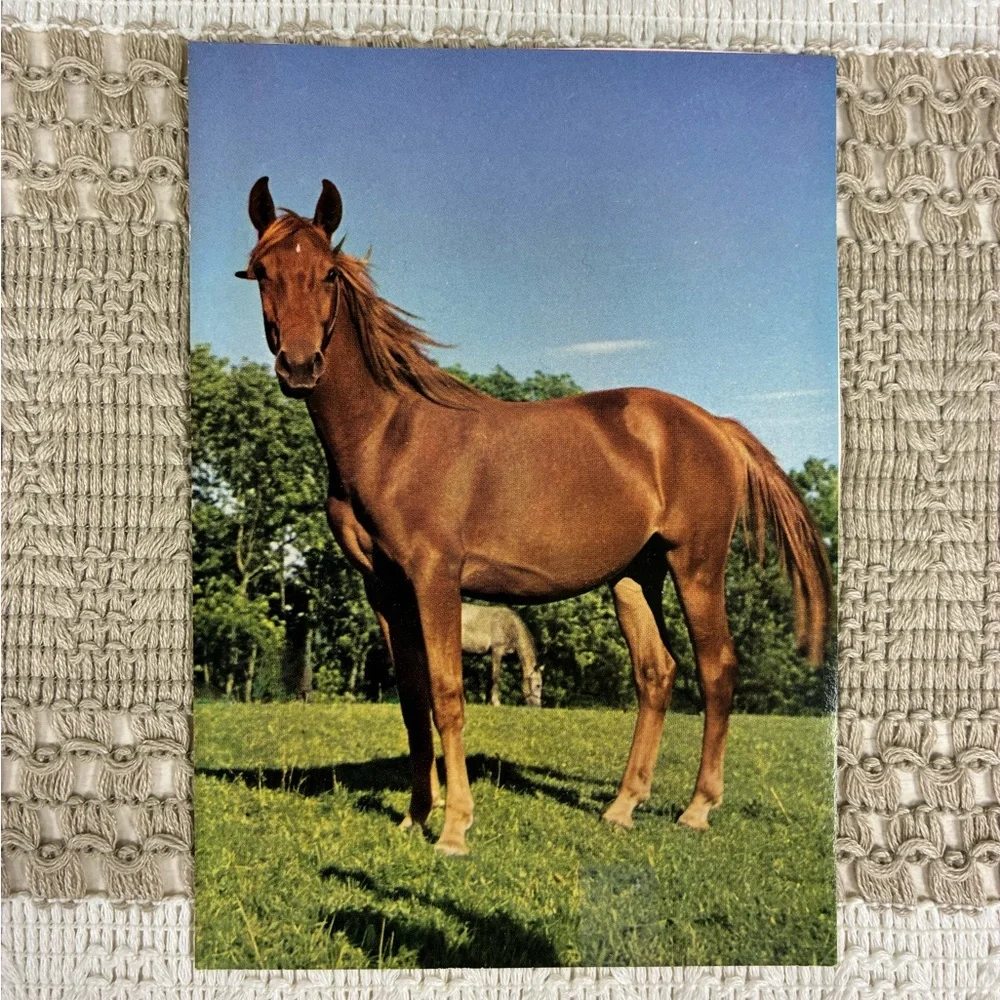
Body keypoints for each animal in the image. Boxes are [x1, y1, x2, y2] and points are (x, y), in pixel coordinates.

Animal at [236, 177, 832, 856]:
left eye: (329, 273)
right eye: (261, 272)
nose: (299, 366)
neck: (392, 434)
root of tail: (715, 426)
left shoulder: (435, 578)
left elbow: (447, 696)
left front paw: (455, 827)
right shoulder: (383, 587)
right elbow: (412, 700)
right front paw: (415, 815)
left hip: (696, 568)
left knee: (717, 670)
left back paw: (698, 808)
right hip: (635, 577)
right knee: (656, 673)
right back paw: (623, 806)